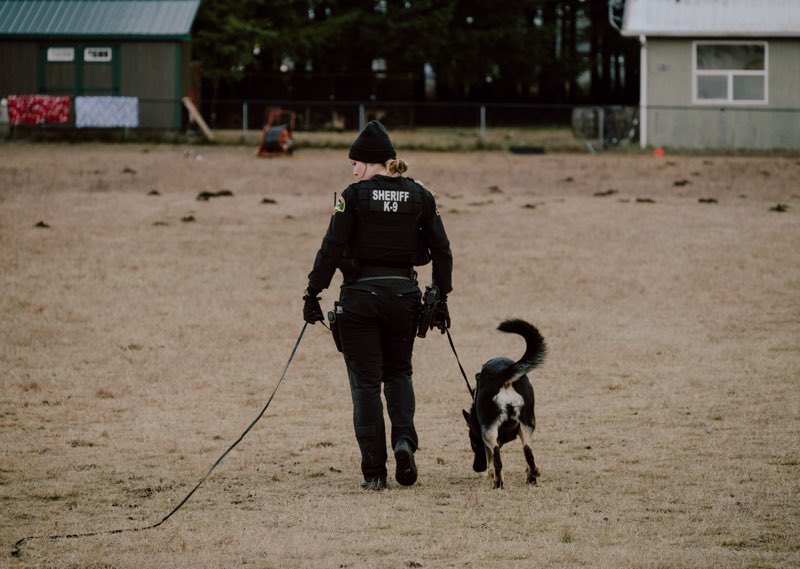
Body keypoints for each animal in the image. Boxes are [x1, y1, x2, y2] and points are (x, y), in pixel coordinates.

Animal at [462, 320, 544, 488]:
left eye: (473, 442)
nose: (476, 468)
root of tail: (502, 375)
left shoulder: (484, 435)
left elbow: (490, 458)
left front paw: (490, 473)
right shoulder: (521, 429)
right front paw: (531, 472)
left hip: (489, 429)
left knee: (497, 456)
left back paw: (498, 483)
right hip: (528, 422)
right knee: (528, 451)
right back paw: (533, 475)